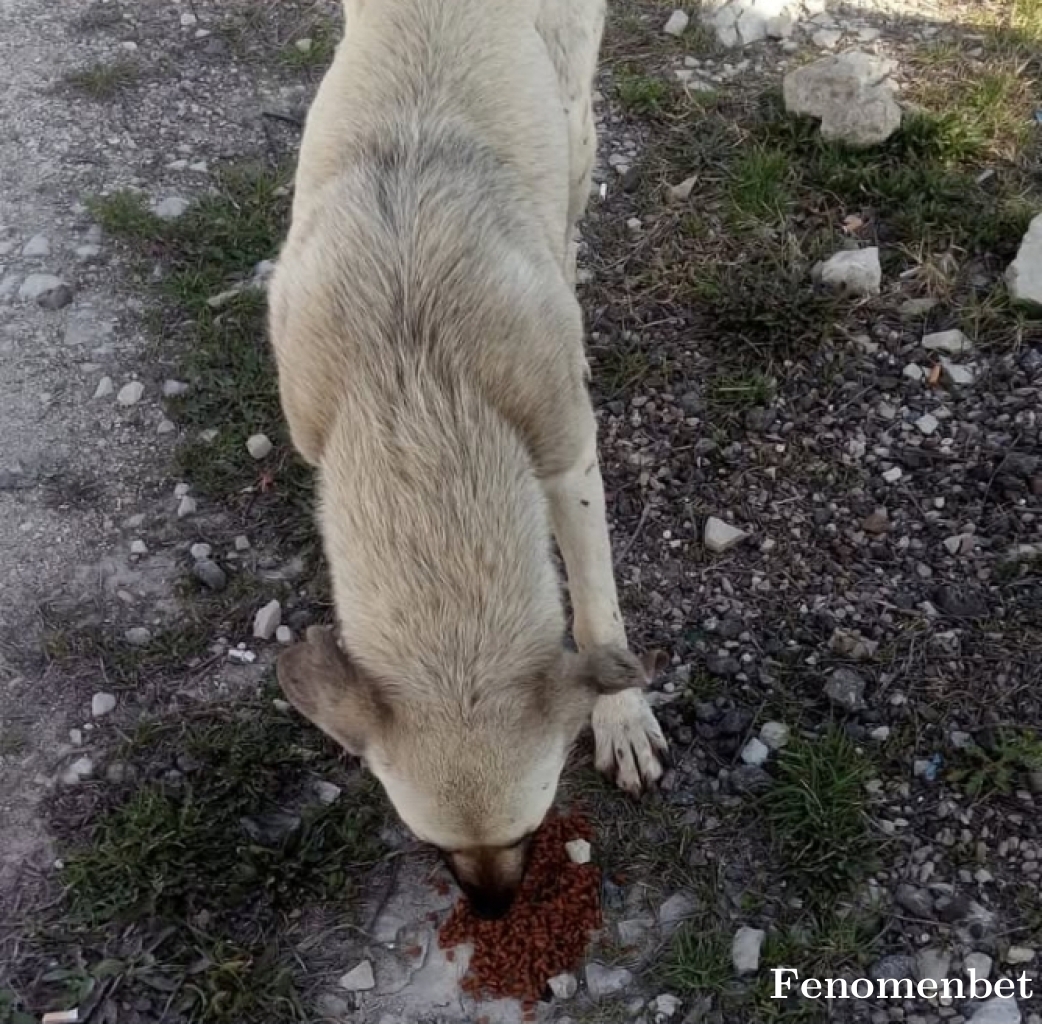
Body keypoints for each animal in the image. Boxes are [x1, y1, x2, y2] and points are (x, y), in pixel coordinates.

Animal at [266, 0, 666, 920]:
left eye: (532, 827)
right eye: (430, 843)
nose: (492, 912)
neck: (414, 399)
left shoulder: (567, 459)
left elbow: (599, 610)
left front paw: (622, 714)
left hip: (577, 124)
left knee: (569, 219)